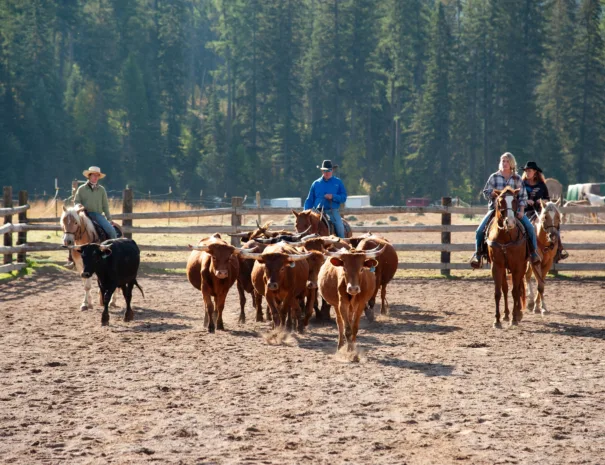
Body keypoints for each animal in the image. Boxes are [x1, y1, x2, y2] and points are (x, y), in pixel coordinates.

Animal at [484, 187, 528, 328]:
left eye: (515, 200)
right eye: (500, 201)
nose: (510, 222)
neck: (505, 237)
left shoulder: (517, 266)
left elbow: (515, 291)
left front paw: (514, 319)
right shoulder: (497, 266)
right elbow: (498, 292)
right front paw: (497, 320)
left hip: (523, 267)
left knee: (518, 288)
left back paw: (517, 314)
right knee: (505, 289)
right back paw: (506, 315)